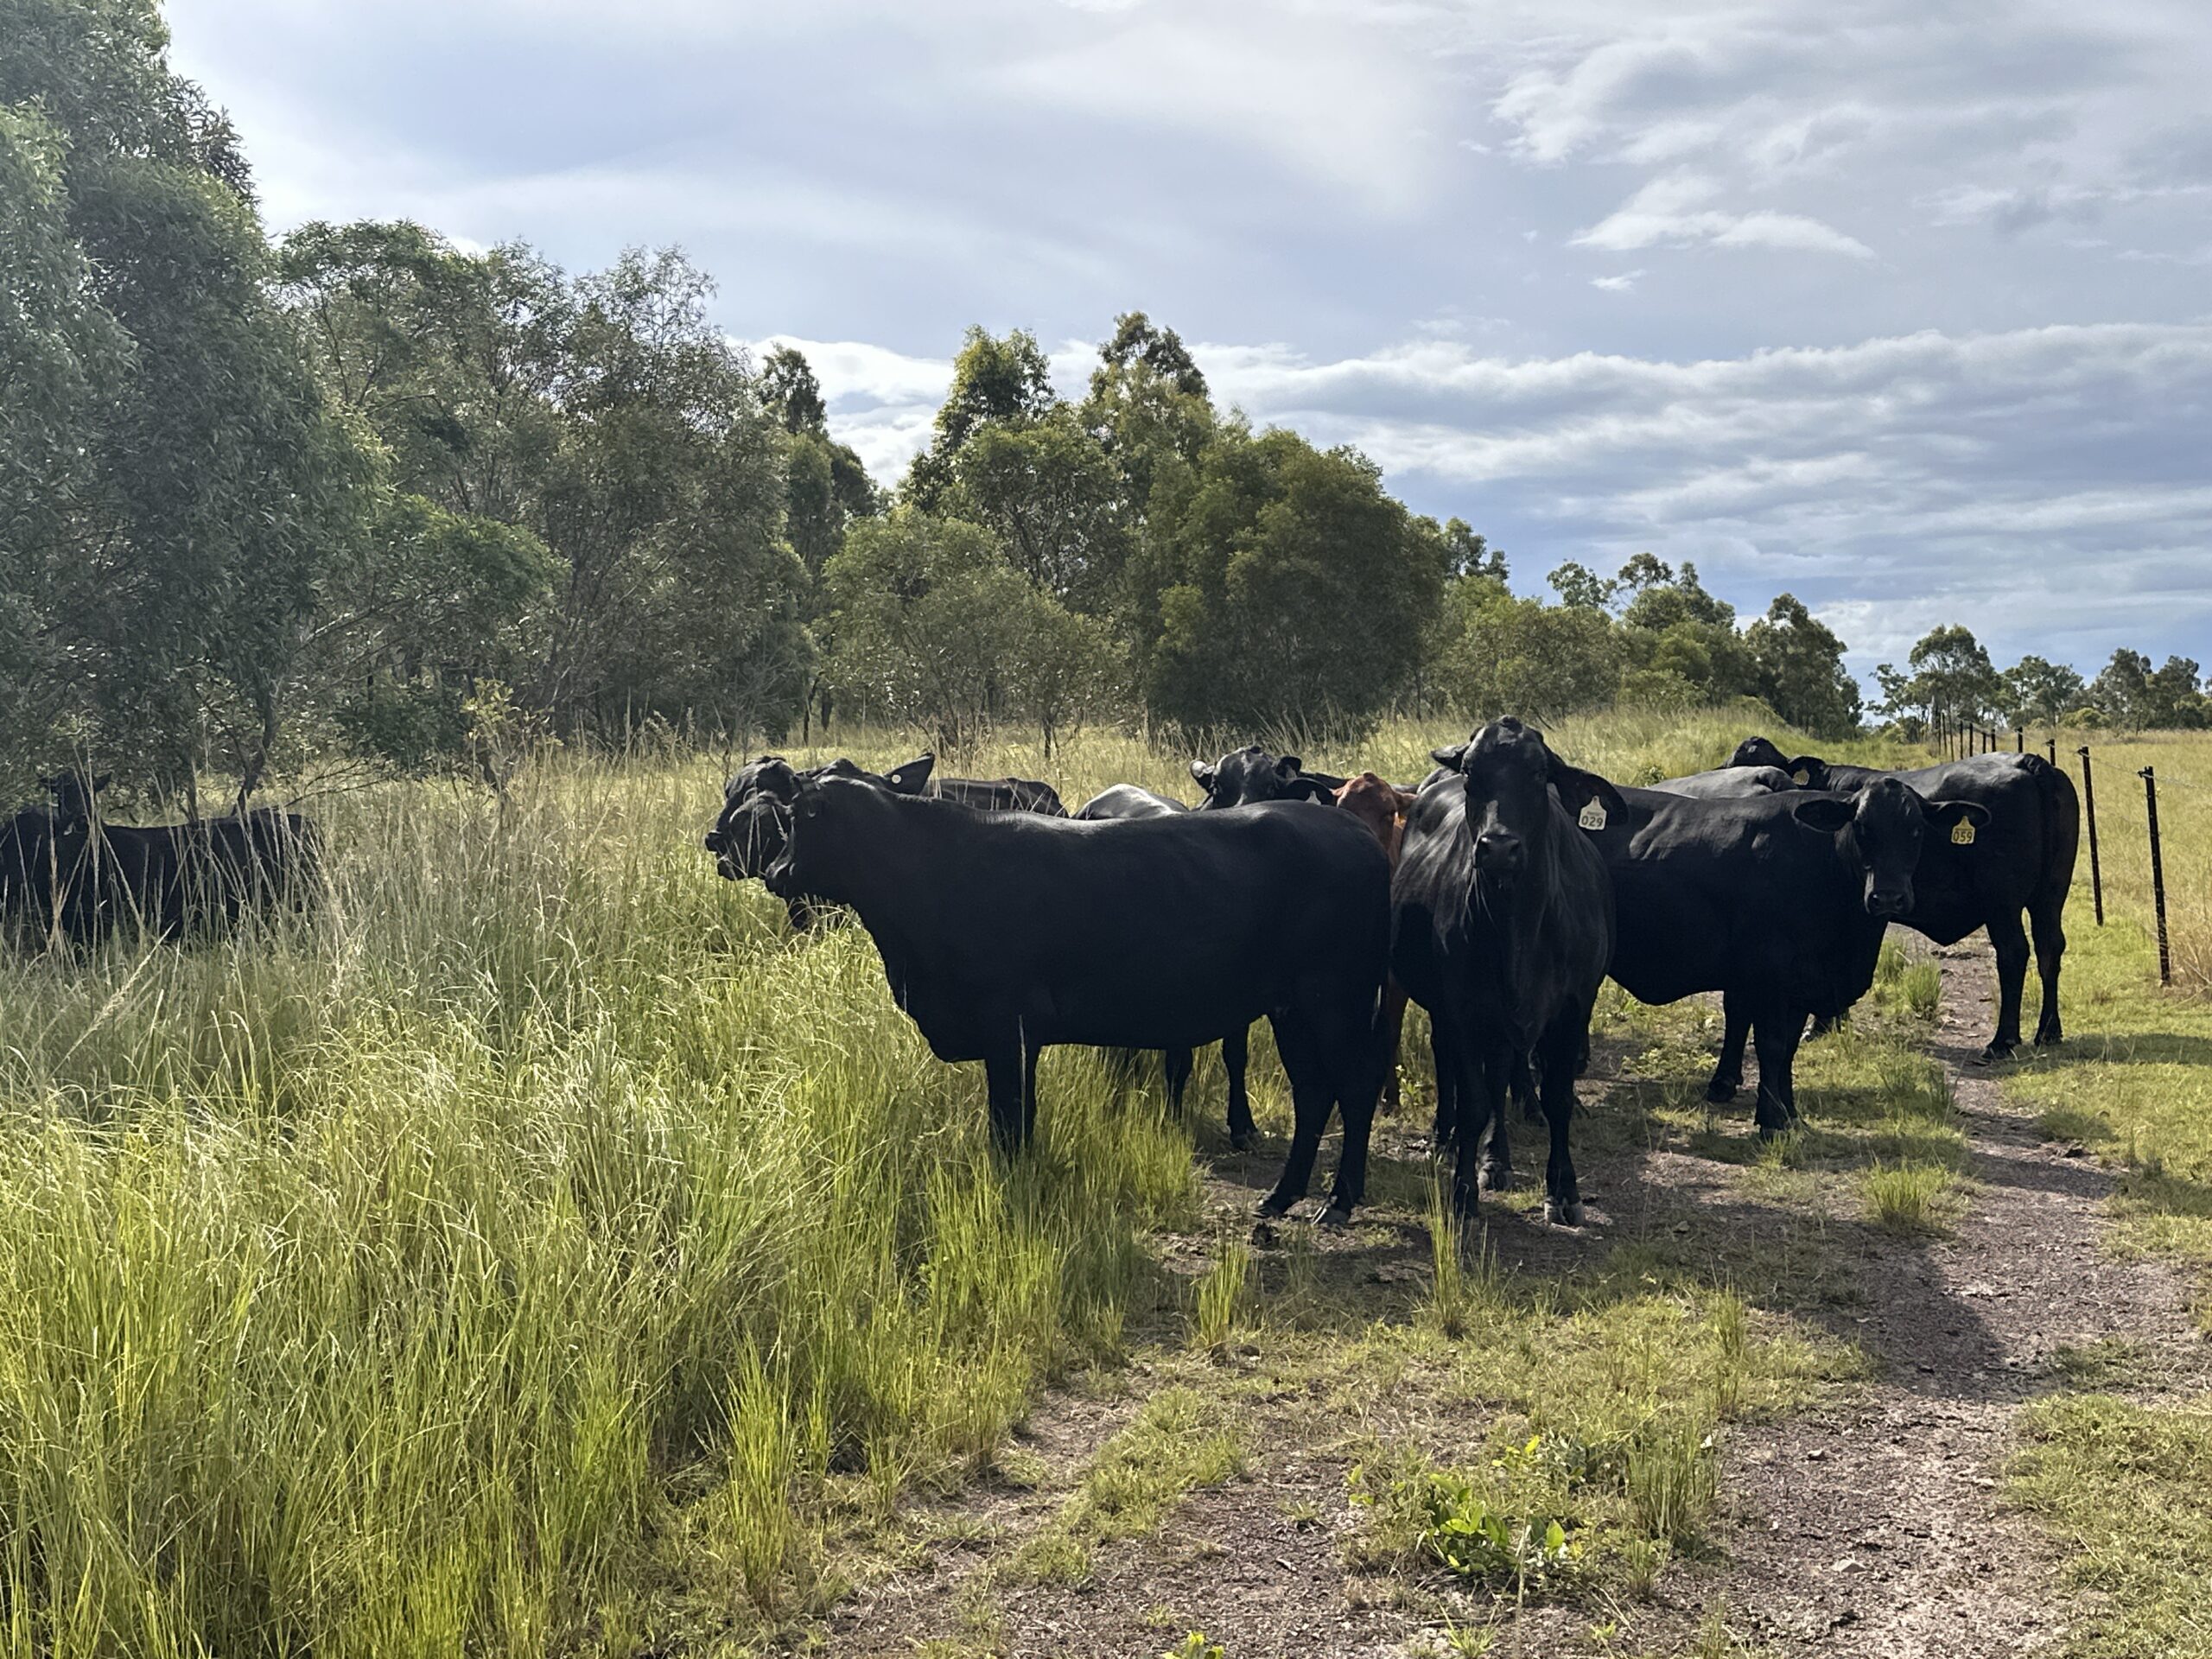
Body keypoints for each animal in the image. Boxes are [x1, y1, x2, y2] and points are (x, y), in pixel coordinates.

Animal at [1393, 721, 1618, 1223]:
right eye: (1472, 772)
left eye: (1537, 773)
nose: (1498, 848)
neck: (1517, 925)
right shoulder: (1460, 1007)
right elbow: (1474, 1102)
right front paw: (1462, 1190)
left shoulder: (1574, 1006)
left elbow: (1557, 1098)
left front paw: (1564, 1191)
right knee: (1453, 1064)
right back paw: (1447, 1138)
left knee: (1500, 1075)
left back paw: (1497, 1159)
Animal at [1587, 778, 1989, 1133]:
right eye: (1860, 827)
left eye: (1917, 830)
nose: (1888, 896)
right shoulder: (1771, 976)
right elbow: (1772, 1045)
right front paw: (1770, 1120)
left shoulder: (1802, 984)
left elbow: (1790, 1050)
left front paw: (1791, 1114)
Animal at [1725, 743, 2079, 1058]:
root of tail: (2028, 761)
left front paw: (1823, 1025)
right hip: (2051, 895)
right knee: (2050, 948)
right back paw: (2048, 1031)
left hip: (2001, 904)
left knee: (2013, 953)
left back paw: (2002, 1041)